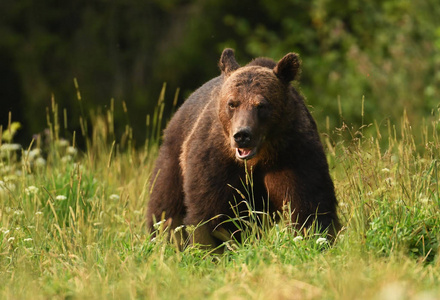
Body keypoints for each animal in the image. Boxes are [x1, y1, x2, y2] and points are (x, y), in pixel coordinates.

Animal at [146, 48, 338, 248]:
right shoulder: (215, 158)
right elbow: (209, 210)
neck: (259, 157)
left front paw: (316, 238)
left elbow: (309, 203)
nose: (242, 135)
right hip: (174, 153)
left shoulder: (292, 152)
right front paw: (209, 246)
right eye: (232, 103)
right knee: (165, 203)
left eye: (261, 105)